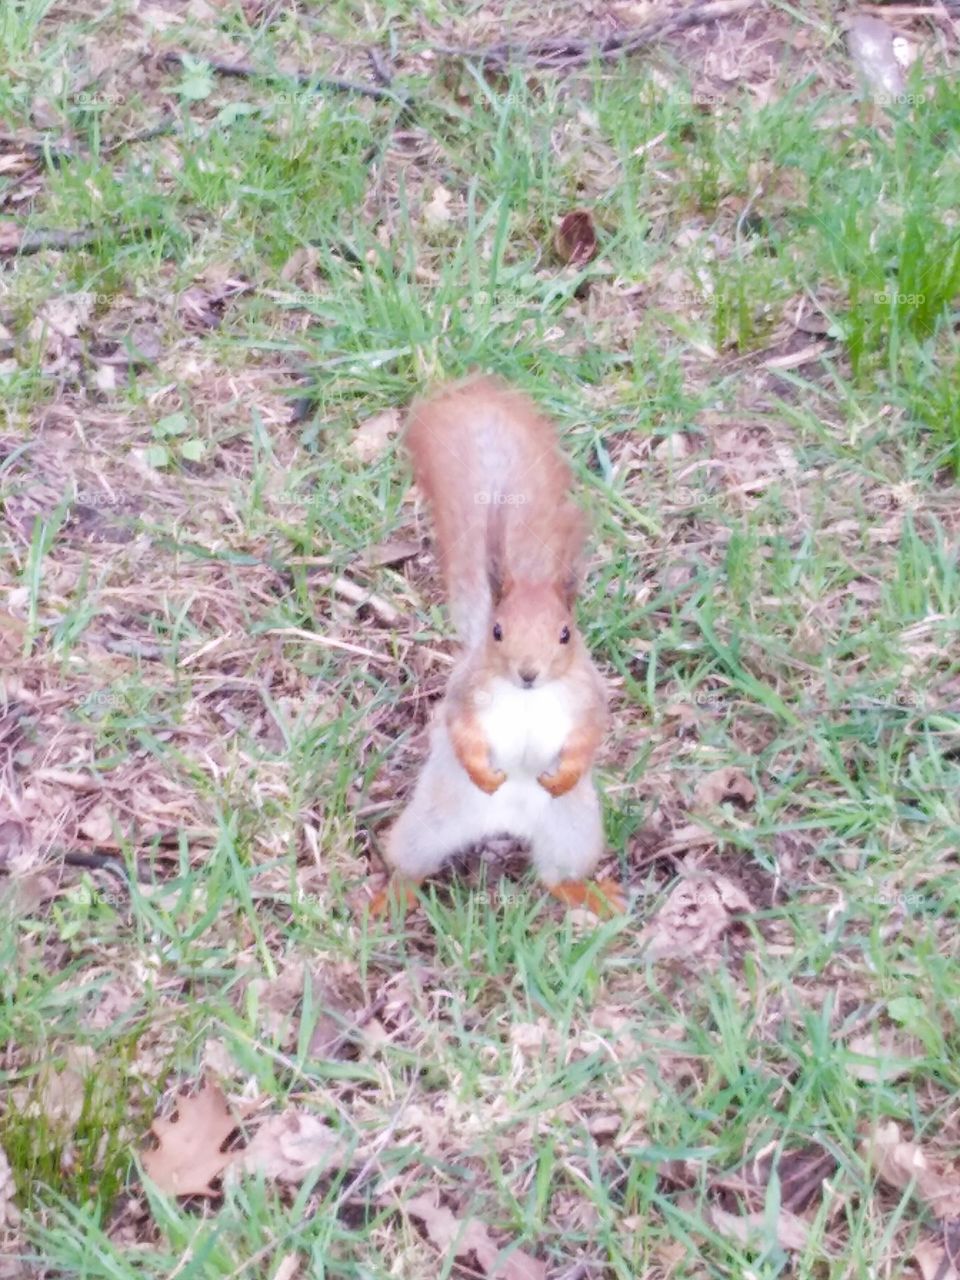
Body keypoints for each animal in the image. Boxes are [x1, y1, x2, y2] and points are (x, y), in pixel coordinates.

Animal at [370, 375, 625, 918]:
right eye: (497, 631)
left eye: (565, 633)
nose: (528, 673)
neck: (527, 697)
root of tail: (507, 826)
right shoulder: (468, 693)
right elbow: (461, 730)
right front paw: (484, 774)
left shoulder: (586, 694)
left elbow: (590, 733)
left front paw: (565, 773)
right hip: (430, 822)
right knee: (412, 862)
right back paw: (392, 897)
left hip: (572, 831)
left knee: (555, 876)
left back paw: (591, 894)